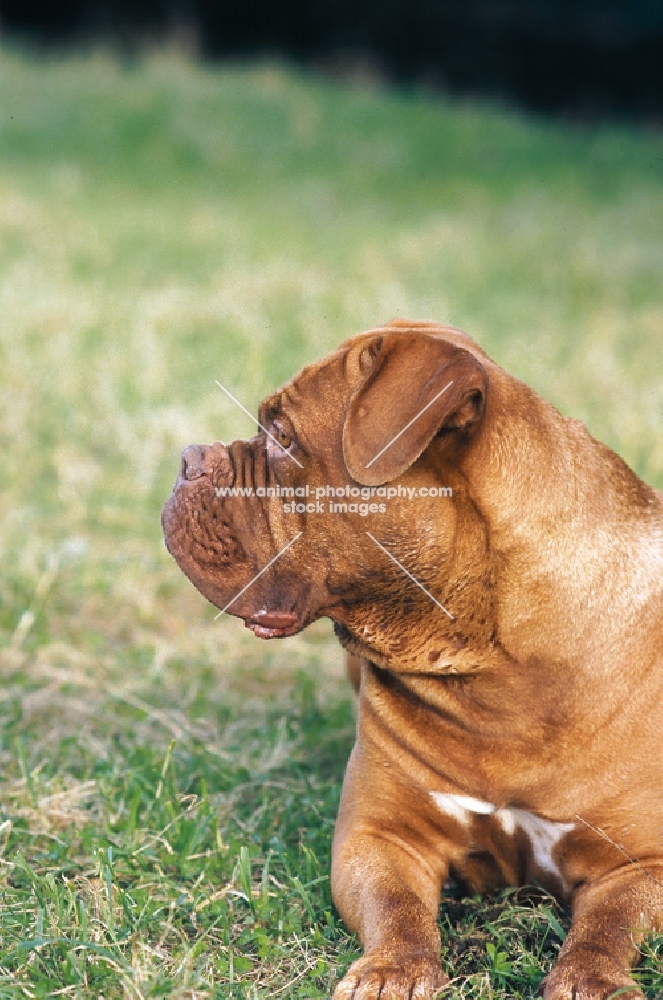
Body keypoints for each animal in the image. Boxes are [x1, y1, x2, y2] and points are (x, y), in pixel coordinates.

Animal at [162, 322, 663, 1000]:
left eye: (284, 436)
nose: (188, 458)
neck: (492, 672)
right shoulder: (378, 838)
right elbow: (396, 907)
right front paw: (392, 971)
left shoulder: (643, 862)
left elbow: (609, 923)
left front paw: (593, 981)